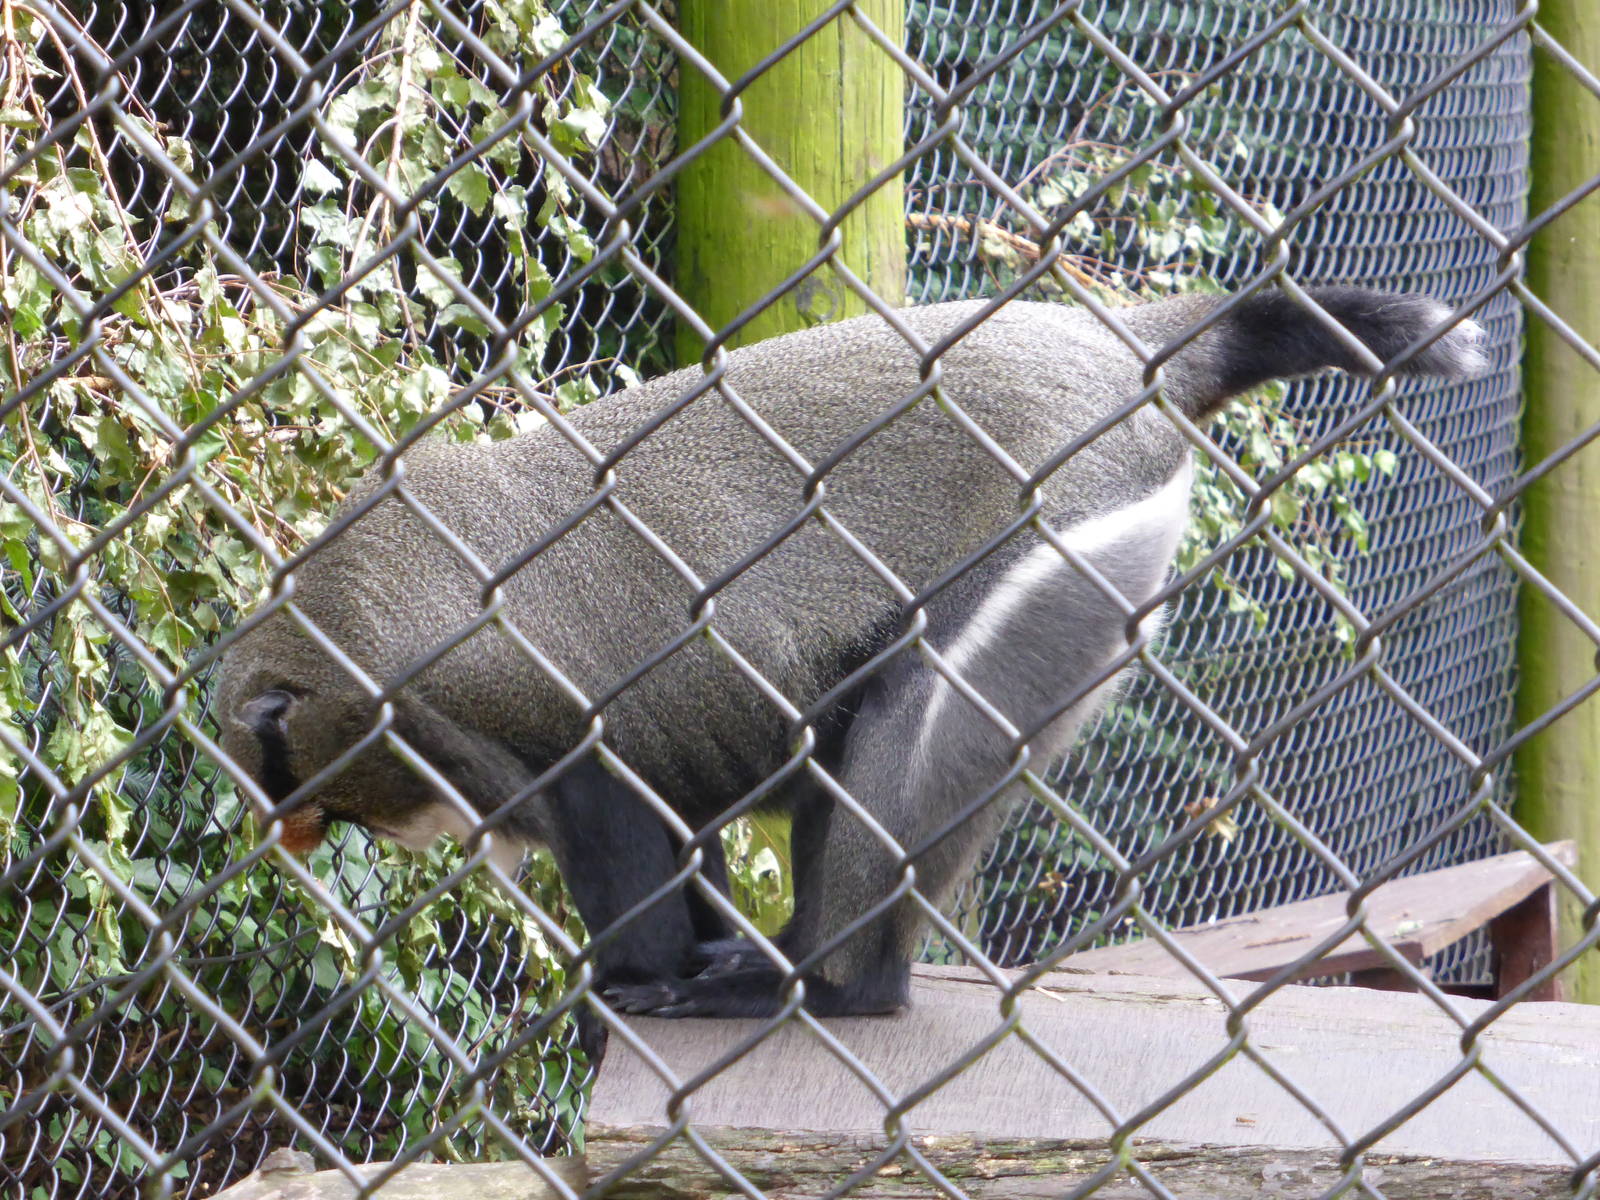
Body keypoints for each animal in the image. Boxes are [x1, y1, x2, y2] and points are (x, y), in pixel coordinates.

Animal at [215, 286, 1484, 1028]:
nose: (292, 833)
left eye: (292, 779)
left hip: (1068, 549)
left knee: (909, 722)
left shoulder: (506, 721)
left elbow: (623, 839)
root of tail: (1130, 347)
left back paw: (830, 987)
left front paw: (628, 988)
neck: (350, 621)